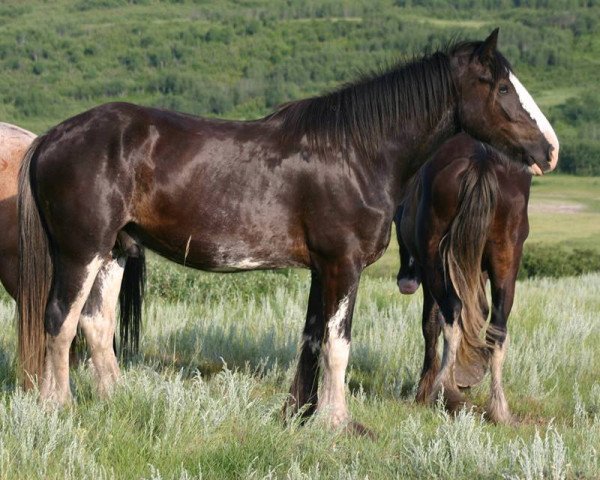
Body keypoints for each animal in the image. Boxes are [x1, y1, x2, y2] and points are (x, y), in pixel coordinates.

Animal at [396, 132, 532, 424]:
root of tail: (481, 160)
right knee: (497, 328)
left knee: (452, 314)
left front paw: (426, 388)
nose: (406, 280)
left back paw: (443, 391)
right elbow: (479, 311)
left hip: (434, 262)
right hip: (506, 258)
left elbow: (431, 324)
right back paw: (498, 408)